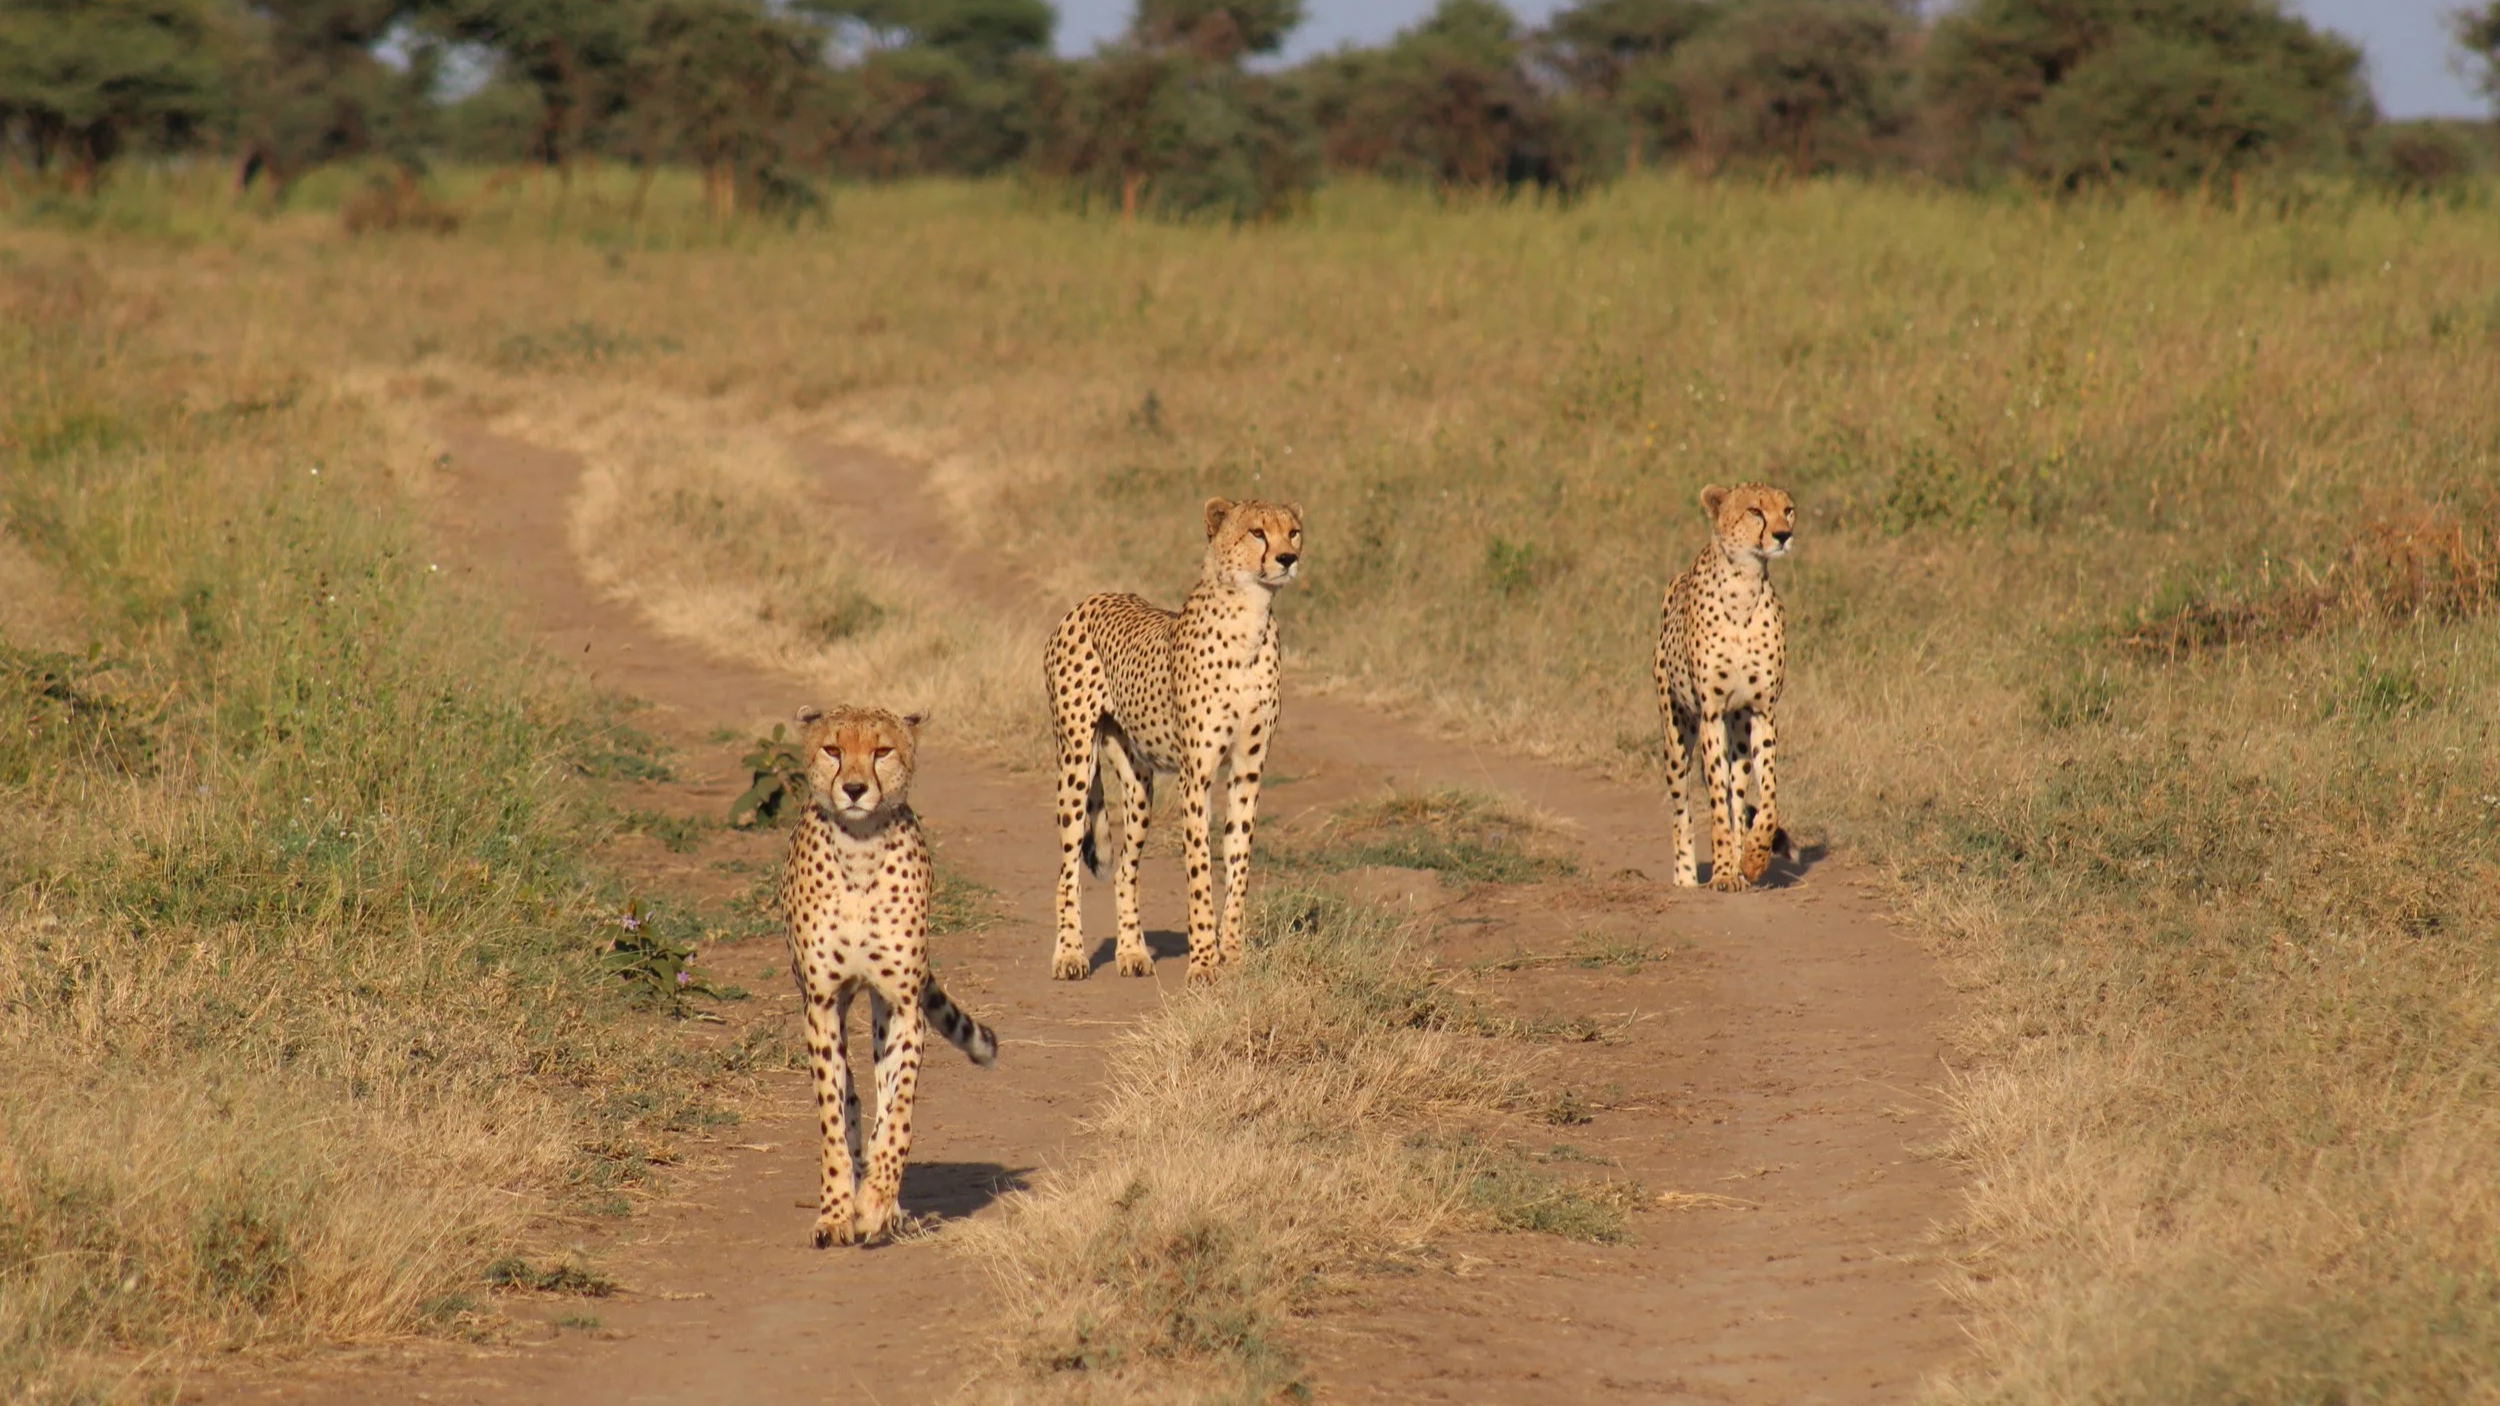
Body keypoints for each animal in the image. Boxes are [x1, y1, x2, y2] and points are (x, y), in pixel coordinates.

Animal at [777, 703, 998, 1247]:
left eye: (882, 751)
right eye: (833, 749)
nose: (855, 789)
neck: (860, 851)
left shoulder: (901, 1004)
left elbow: (898, 1112)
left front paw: (876, 1203)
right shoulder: (822, 1004)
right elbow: (834, 1116)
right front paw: (836, 1212)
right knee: (853, 1094)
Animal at [1044, 497, 1303, 984]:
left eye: (1293, 531)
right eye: (1257, 532)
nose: (1287, 558)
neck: (1250, 618)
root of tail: (1090, 599)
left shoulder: (1248, 771)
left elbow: (1238, 863)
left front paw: (1233, 954)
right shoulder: (1195, 777)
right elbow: (1200, 871)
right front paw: (1203, 960)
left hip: (1139, 782)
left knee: (1126, 870)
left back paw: (1131, 951)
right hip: (1075, 761)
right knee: (1067, 870)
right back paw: (1069, 954)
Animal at [1655, 482, 1797, 893]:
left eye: (1788, 510)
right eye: (1755, 511)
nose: (1783, 535)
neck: (1744, 586)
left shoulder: (1763, 713)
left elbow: (1767, 800)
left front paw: (1752, 860)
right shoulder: (1711, 715)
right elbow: (1716, 804)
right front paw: (1720, 873)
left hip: (1740, 736)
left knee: (1738, 798)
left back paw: (1738, 862)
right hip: (1676, 733)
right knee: (1682, 808)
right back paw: (1687, 874)